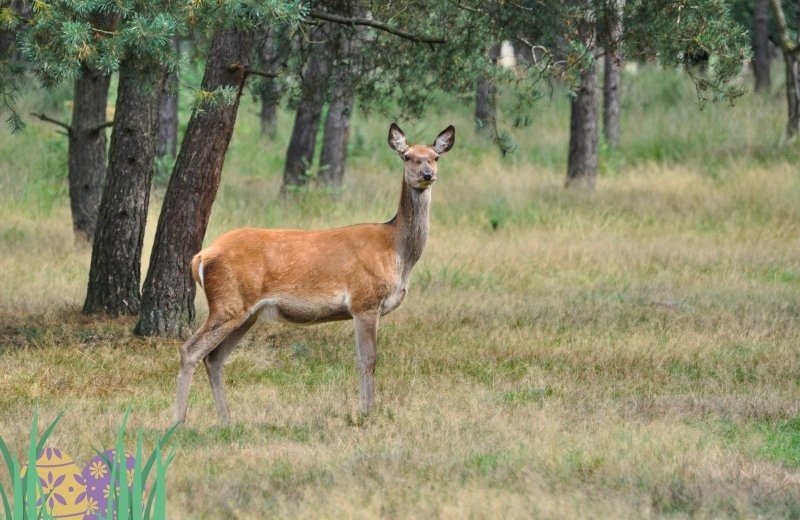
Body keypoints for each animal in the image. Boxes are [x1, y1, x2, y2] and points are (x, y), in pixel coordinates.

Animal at [174, 123, 455, 424]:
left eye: (435, 157)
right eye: (408, 156)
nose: (427, 175)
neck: (396, 251)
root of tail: (201, 256)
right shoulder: (364, 301)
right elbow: (368, 359)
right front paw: (367, 413)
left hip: (247, 313)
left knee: (214, 358)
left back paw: (227, 420)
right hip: (228, 302)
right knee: (190, 350)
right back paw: (179, 420)